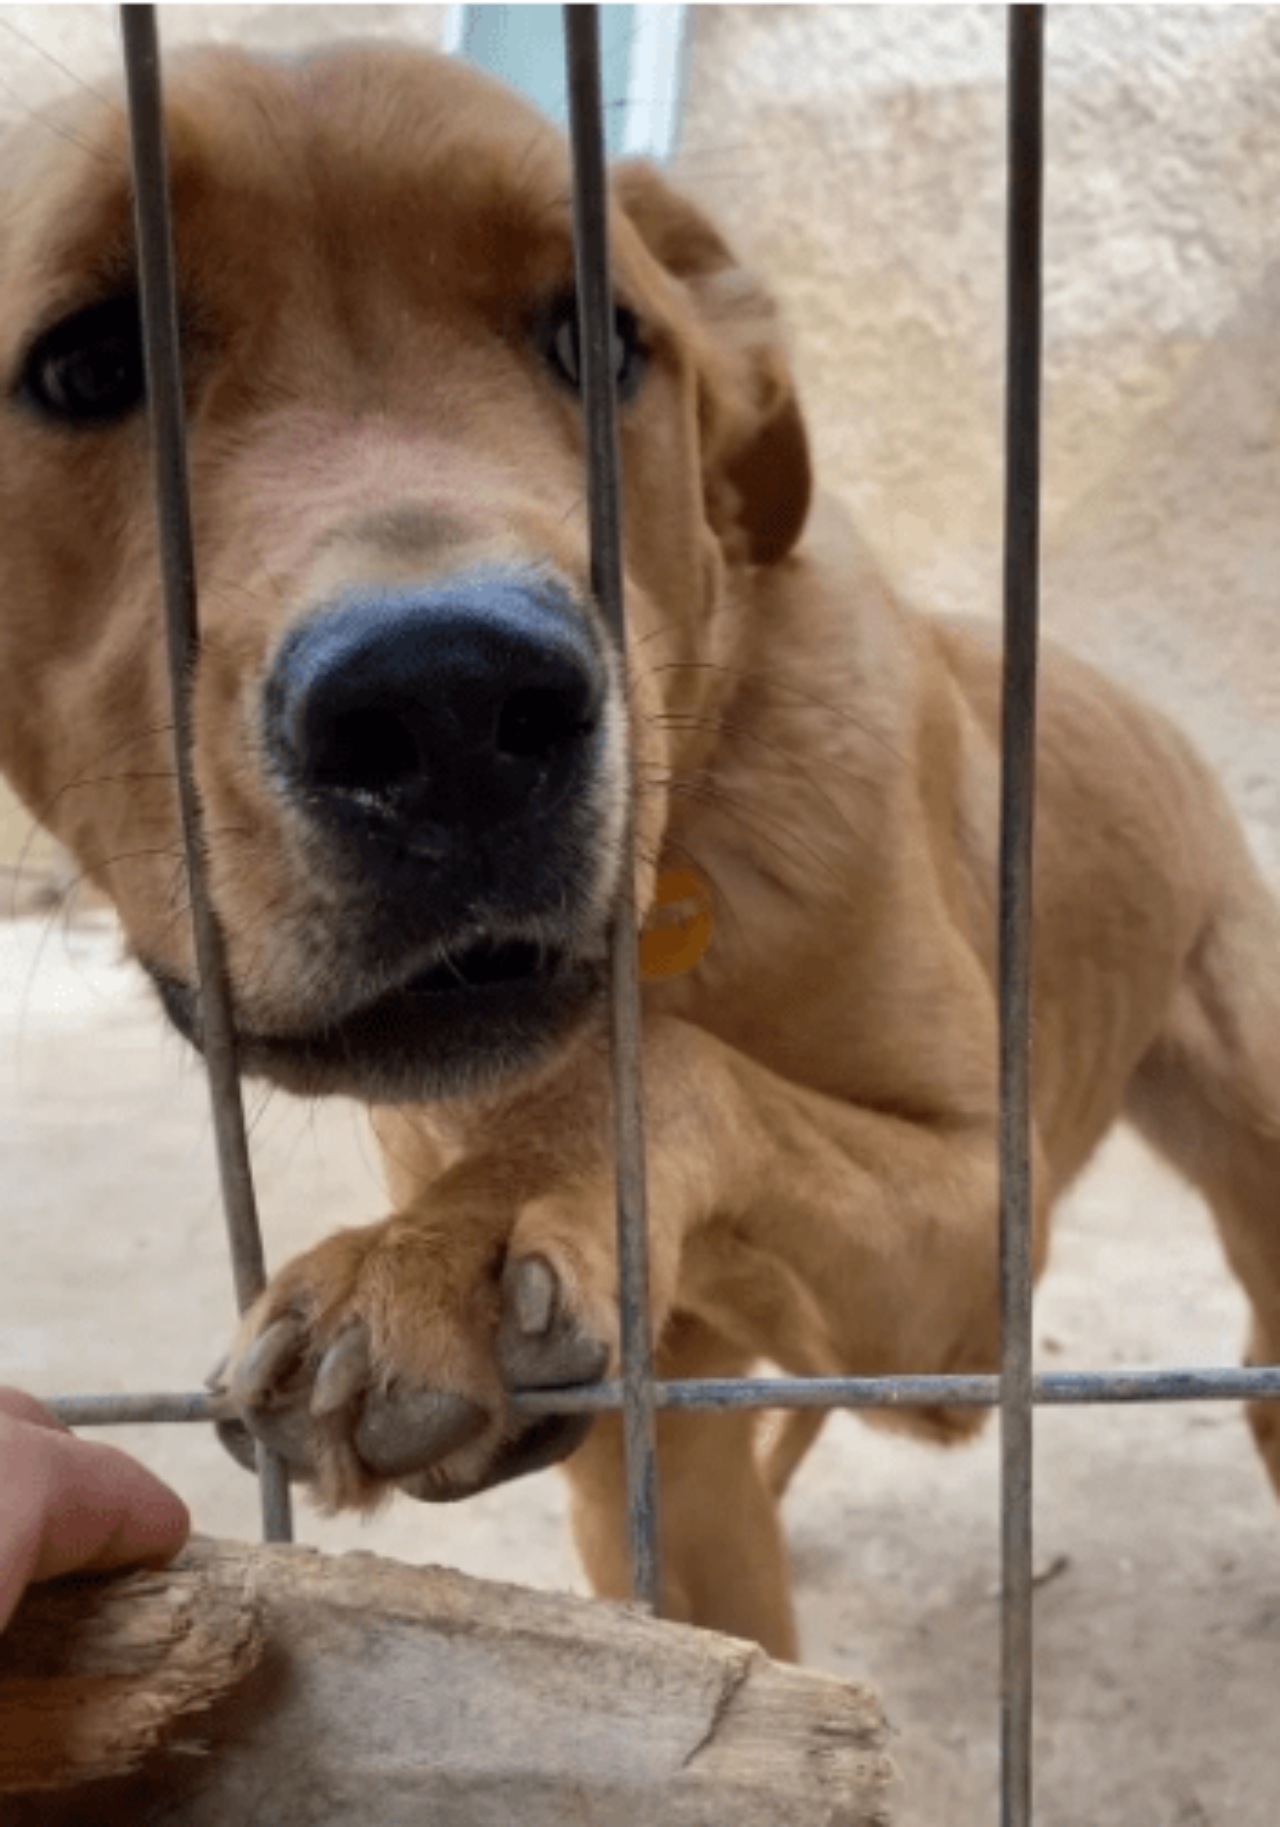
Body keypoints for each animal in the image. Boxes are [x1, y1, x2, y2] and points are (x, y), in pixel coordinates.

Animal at [2, 46, 1278, 1673]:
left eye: (599, 337)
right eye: (88, 365)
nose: (452, 704)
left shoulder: (973, 1249)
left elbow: (670, 1067)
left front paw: (447, 1241)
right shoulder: (660, 1464)